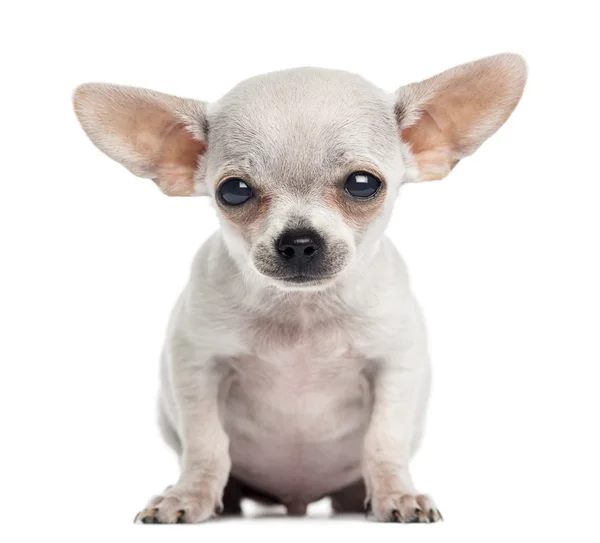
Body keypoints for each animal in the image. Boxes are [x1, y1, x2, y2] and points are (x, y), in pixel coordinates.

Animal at [74, 54, 524, 524]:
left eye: (362, 184)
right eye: (234, 192)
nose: (300, 241)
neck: (302, 311)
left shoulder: (396, 369)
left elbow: (384, 440)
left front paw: (396, 494)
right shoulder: (196, 369)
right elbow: (206, 444)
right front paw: (189, 495)